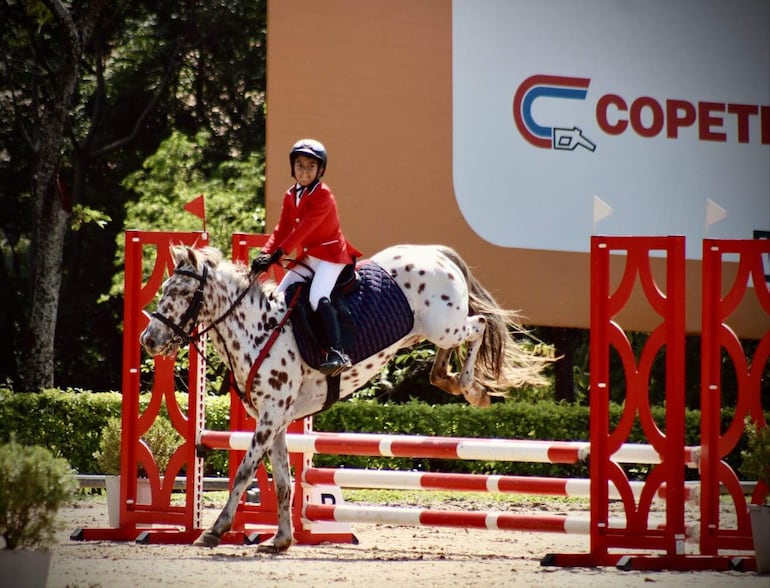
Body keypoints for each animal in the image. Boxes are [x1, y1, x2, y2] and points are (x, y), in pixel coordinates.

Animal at [138, 242, 544, 552]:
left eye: (183, 294)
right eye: (164, 289)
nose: (149, 340)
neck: (258, 330)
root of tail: (435, 252)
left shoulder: (271, 415)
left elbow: (243, 472)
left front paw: (214, 531)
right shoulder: (275, 419)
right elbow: (283, 482)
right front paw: (280, 539)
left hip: (445, 326)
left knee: (480, 325)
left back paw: (472, 388)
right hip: (426, 332)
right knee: (452, 349)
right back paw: (446, 378)